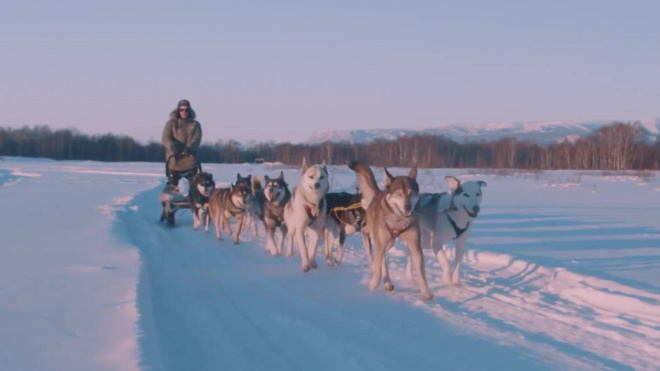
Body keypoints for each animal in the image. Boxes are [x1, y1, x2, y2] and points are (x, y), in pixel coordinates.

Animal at [346, 161, 434, 300]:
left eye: (411, 193)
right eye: (398, 193)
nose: (408, 207)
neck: (399, 220)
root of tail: (378, 193)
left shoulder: (415, 245)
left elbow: (421, 272)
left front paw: (426, 292)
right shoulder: (380, 242)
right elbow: (377, 265)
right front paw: (373, 283)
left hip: (389, 242)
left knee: (383, 257)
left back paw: (387, 282)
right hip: (377, 236)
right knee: (375, 250)